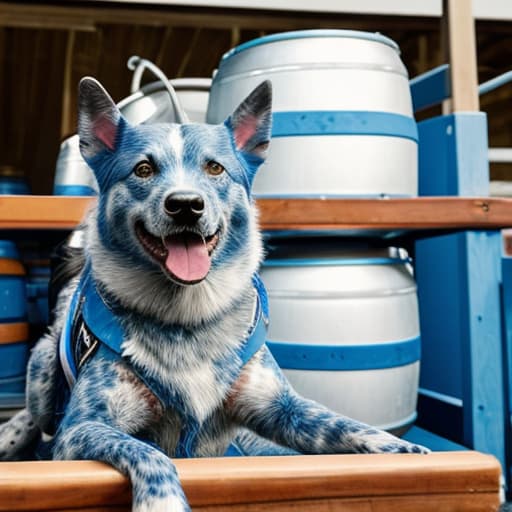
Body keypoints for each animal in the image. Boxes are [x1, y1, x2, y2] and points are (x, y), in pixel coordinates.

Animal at [0, 77, 428, 512]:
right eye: (143, 169)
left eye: (215, 167)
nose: (186, 205)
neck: (186, 319)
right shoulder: (82, 426)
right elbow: (147, 451)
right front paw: (162, 501)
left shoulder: (280, 407)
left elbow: (341, 423)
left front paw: (404, 449)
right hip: (43, 367)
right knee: (36, 417)